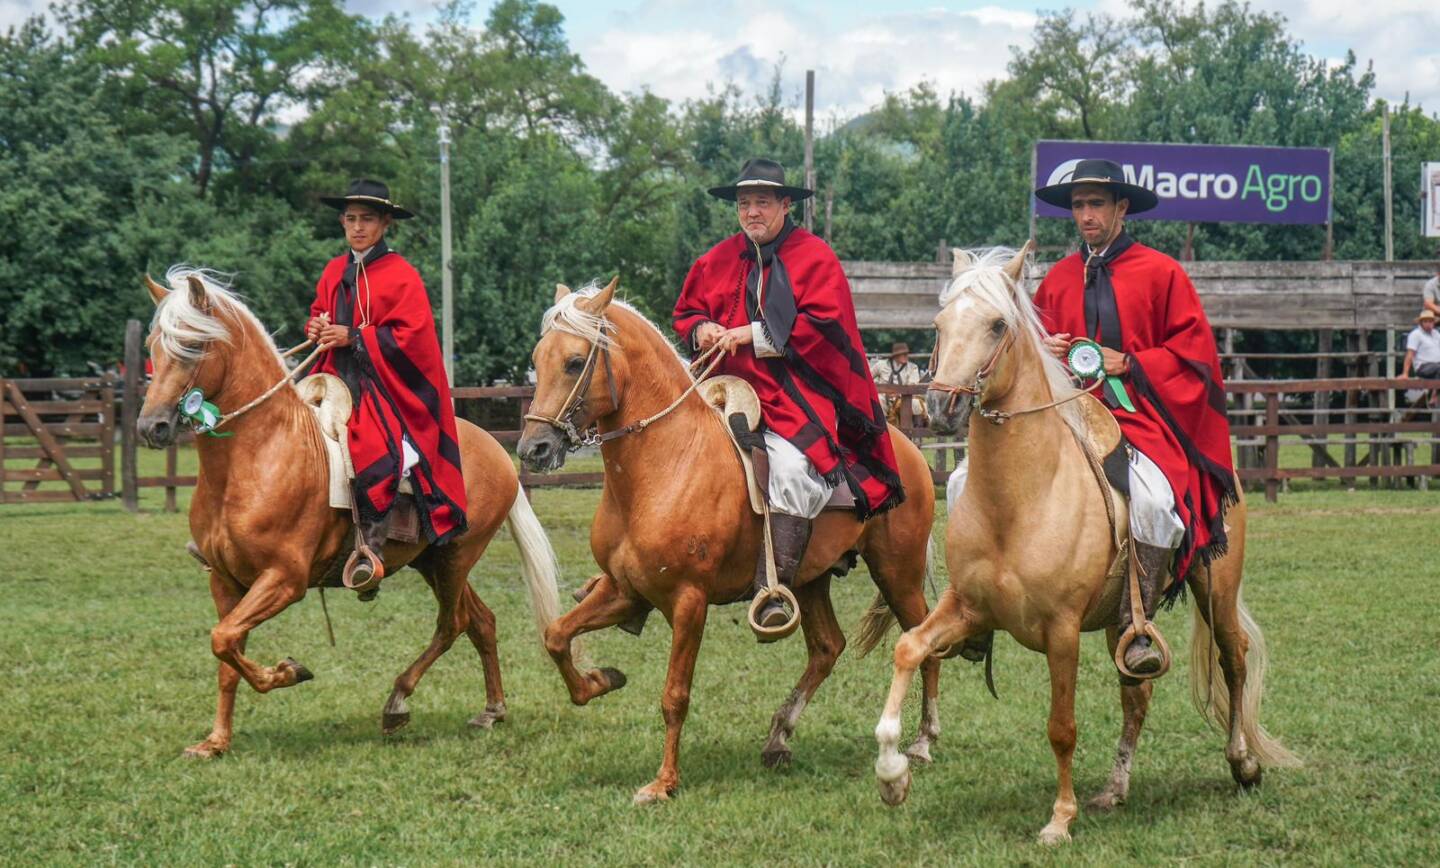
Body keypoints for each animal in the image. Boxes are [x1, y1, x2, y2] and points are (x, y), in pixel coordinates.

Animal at [136, 267, 561, 760]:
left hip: (457, 556)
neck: (261, 455)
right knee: (481, 621)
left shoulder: (284, 580)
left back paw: (397, 702)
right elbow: (226, 648)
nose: (152, 426)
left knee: (452, 623)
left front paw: (287, 671)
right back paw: (492, 709)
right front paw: (216, 741)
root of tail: (496, 447)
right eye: (152, 348)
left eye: (191, 345)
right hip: (432, 559)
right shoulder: (224, 581)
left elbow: (223, 639)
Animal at [869, 247, 1301, 846]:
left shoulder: (1062, 631)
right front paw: (892, 775)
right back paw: (1115, 789)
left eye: (998, 324)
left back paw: (1243, 763)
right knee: (1136, 691)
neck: (1022, 499)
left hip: (1215, 586)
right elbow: (909, 647)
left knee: (1232, 658)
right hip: (1127, 621)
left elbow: (1062, 727)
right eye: (939, 325)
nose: (941, 405)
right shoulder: (966, 607)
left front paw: (1059, 818)